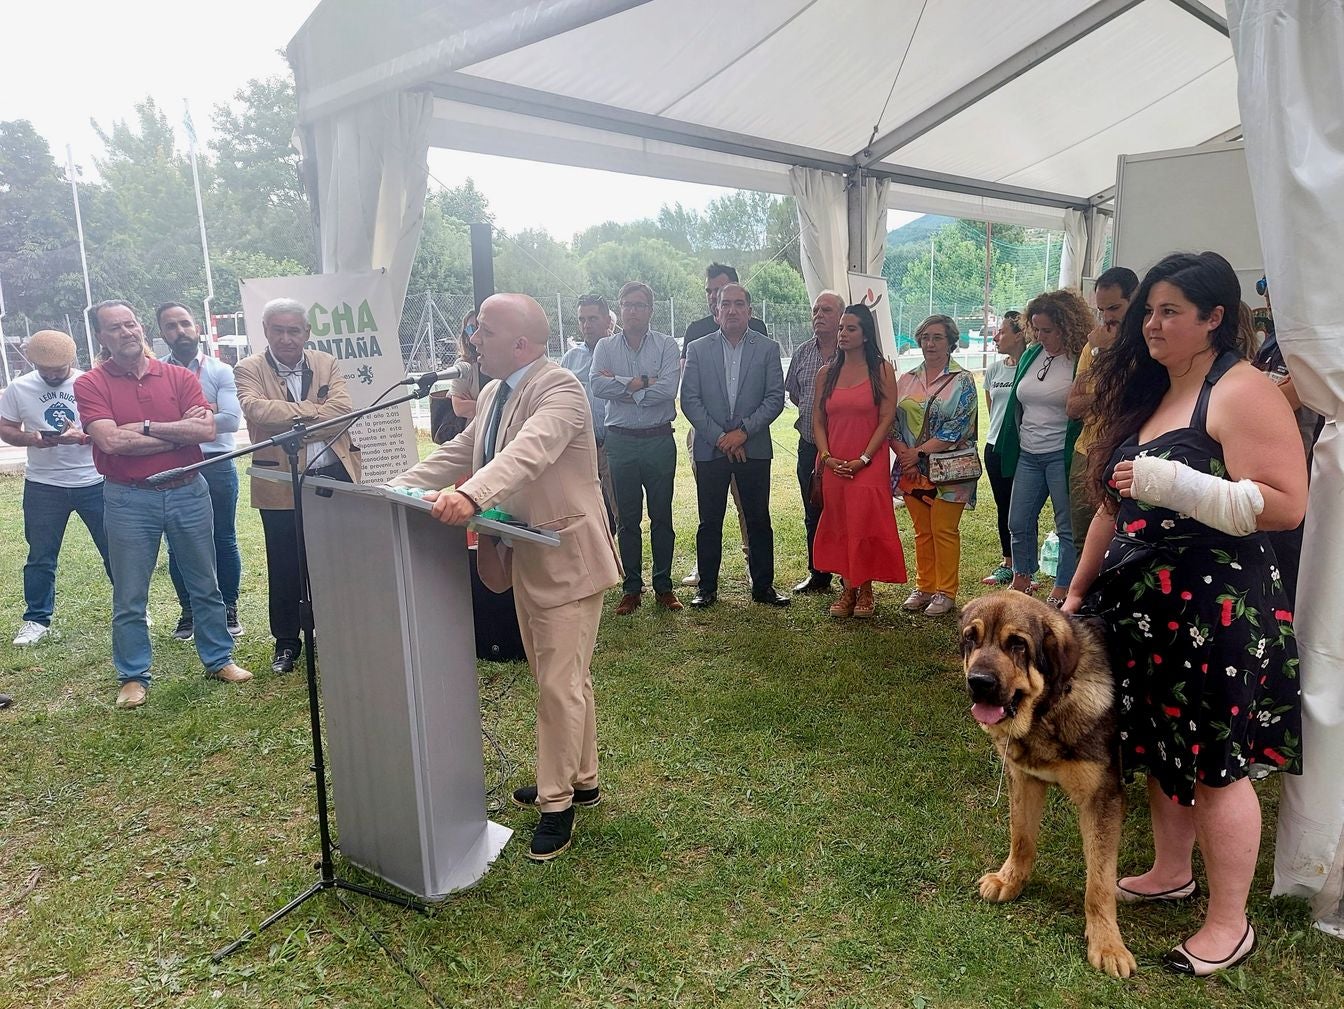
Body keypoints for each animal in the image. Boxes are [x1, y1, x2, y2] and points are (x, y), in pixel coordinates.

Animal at [956, 591, 1134, 978]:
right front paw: (1010, 880)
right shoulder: (1025, 779)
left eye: (1017, 644)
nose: (979, 682)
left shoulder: (1102, 800)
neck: (1050, 708)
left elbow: (1098, 883)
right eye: (971, 638)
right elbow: (1022, 838)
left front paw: (1107, 943)